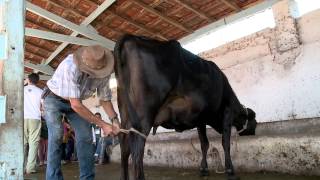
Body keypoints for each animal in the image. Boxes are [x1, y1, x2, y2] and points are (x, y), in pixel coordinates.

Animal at [114, 34, 256, 180]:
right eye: (254, 120)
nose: (253, 131)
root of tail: (131, 37)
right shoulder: (227, 112)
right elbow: (225, 143)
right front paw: (230, 170)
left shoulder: (201, 120)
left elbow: (204, 144)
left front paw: (203, 169)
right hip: (144, 115)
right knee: (137, 147)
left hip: (125, 114)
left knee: (124, 144)